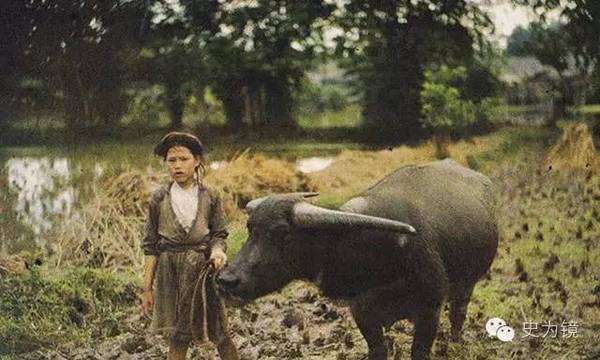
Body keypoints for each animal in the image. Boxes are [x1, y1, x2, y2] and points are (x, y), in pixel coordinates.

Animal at [218, 160, 500, 360]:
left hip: (467, 285)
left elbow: (420, 350)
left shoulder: (429, 308)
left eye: (282, 233)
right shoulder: (362, 312)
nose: (226, 279)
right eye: (250, 228)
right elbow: (378, 349)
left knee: (458, 314)